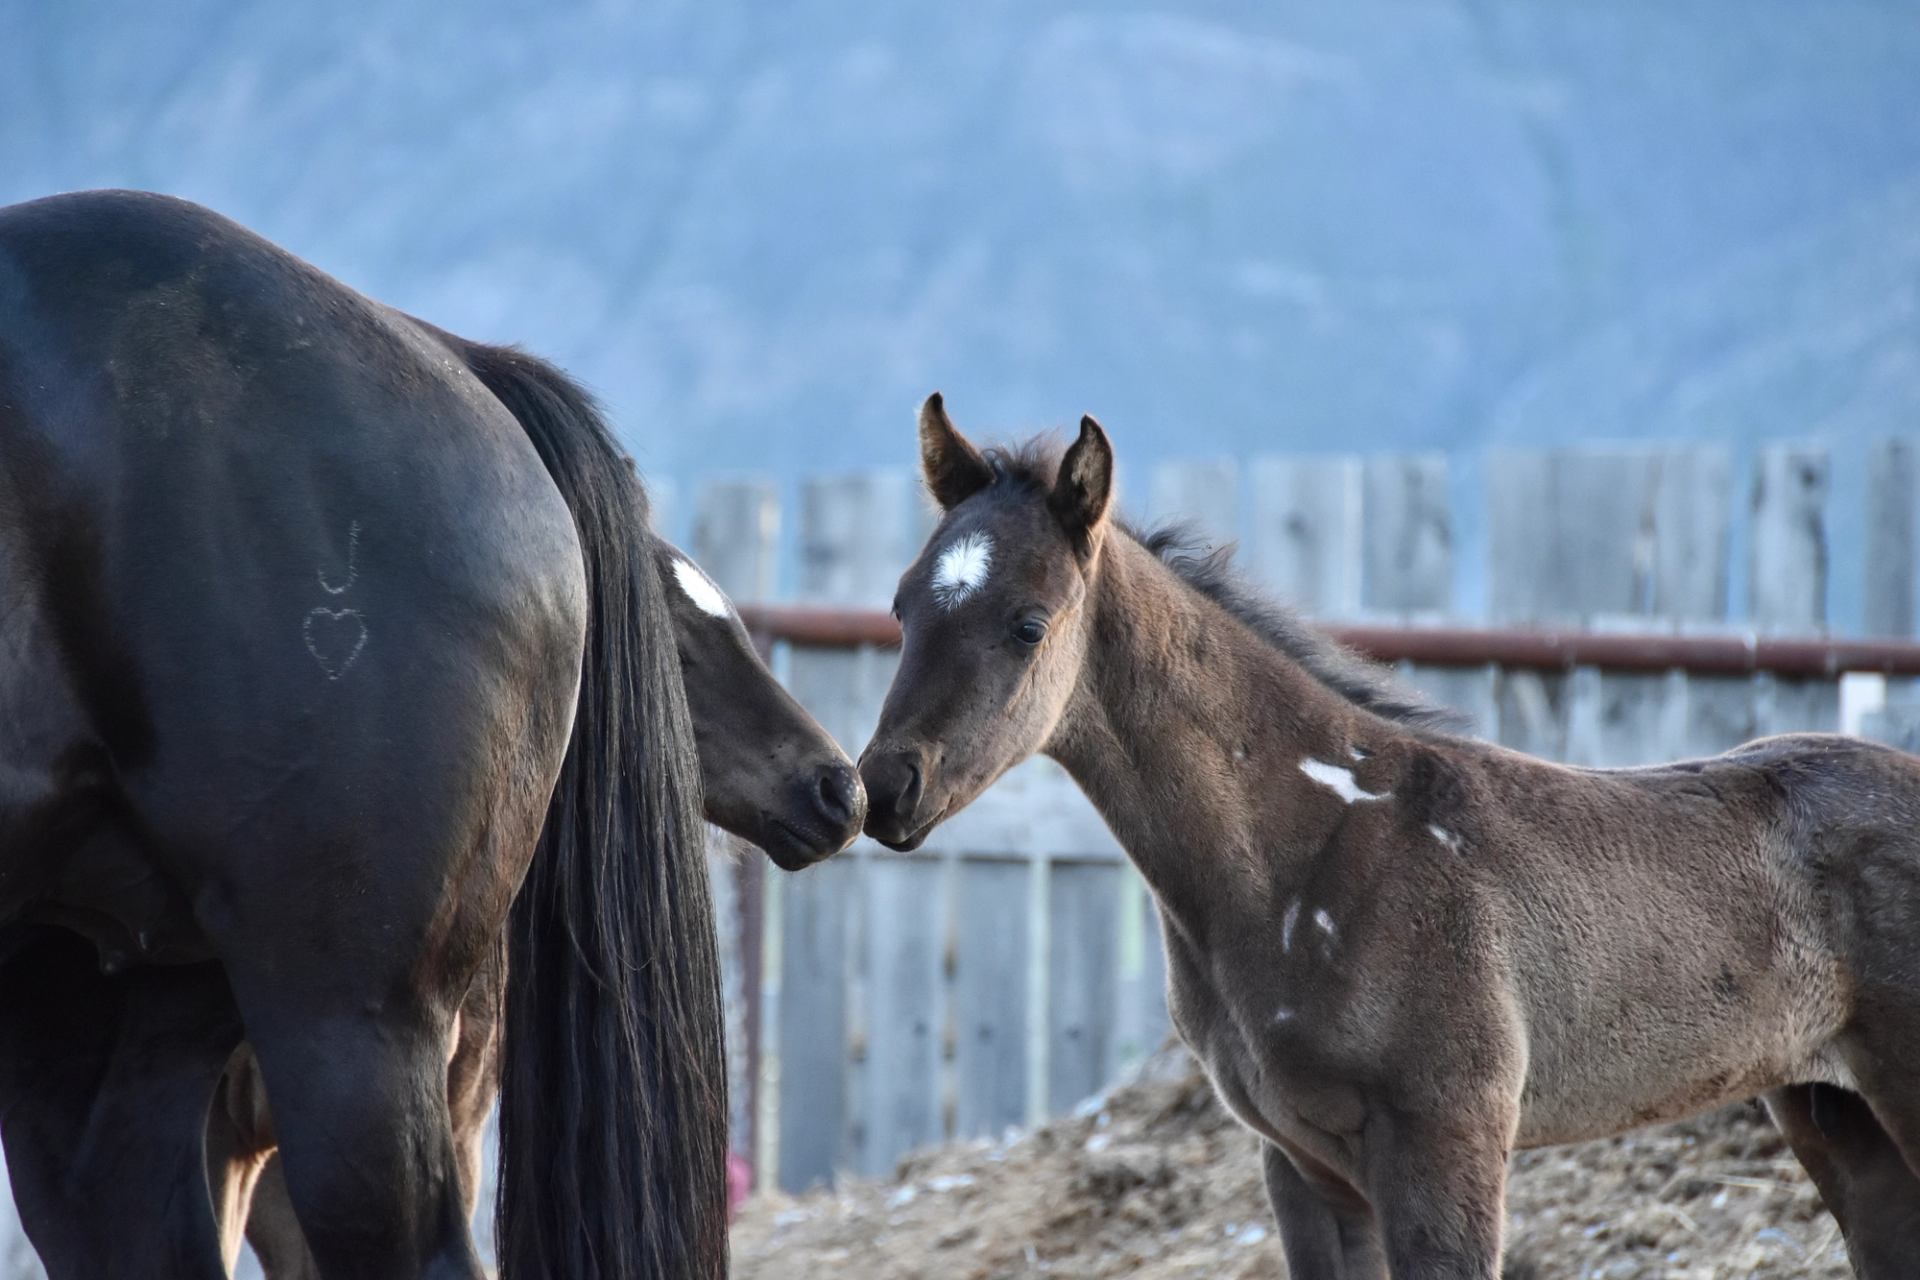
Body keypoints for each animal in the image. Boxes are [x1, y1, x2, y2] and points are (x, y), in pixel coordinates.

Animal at [856, 394, 1920, 1279]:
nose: (884, 788)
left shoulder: (1444, 1141)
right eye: (902, 603)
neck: (1310, 852)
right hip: (1832, 1110)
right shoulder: (1303, 1168)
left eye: (1029, 624)